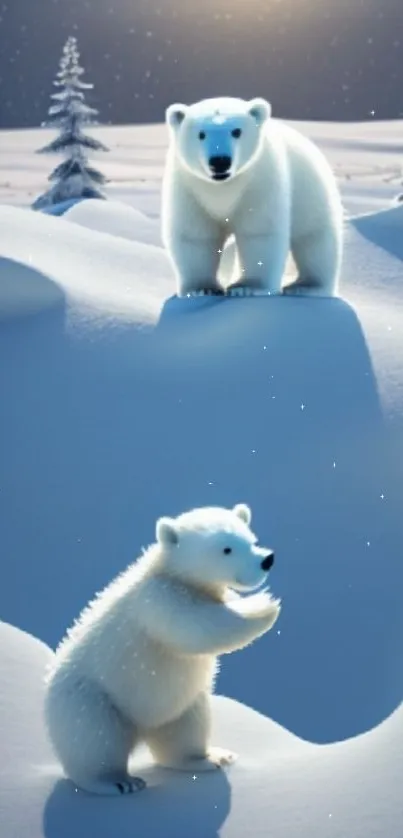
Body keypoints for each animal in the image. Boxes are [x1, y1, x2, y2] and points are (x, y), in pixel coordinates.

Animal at [45, 502, 280, 796]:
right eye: (226, 548)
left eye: (251, 539)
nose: (267, 559)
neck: (169, 571)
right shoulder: (157, 597)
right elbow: (195, 626)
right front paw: (263, 605)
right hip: (89, 699)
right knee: (97, 739)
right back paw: (116, 781)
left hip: (182, 706)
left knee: (186, 730)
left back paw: (210, 758)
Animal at [163, 96, 346, 298]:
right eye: (201, 134)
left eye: (236, 131)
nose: (220, 161)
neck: (223, 187)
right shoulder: (189, 188)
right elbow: (195, 236)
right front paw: (201, 289)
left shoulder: (259, 181)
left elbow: (258, 233)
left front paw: (247, 287)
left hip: (311, 191)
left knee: (315, 238)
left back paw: (307, 285)